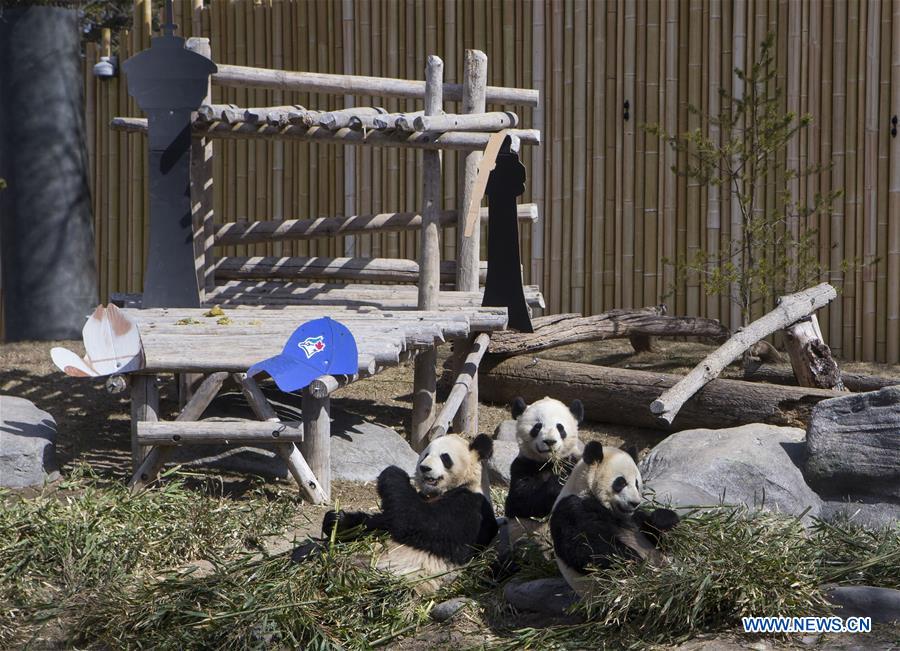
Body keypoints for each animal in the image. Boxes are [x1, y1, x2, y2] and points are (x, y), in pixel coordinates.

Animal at [321, 433, 498, 595]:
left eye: (445, 457)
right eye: (426, 454)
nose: (424, 468)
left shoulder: (469, 506)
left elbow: (417, 522)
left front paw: (393, 471)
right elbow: (382, 521)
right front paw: (336, 520)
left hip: (405, 579)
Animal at [550, 441, 680, 597]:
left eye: (637, 483)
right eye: (621, 482)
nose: (634, 503)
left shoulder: (634, 518)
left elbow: (658, 538)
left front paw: (664, 519)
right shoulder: (572, 510)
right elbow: (584, 548)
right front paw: (634, 561)